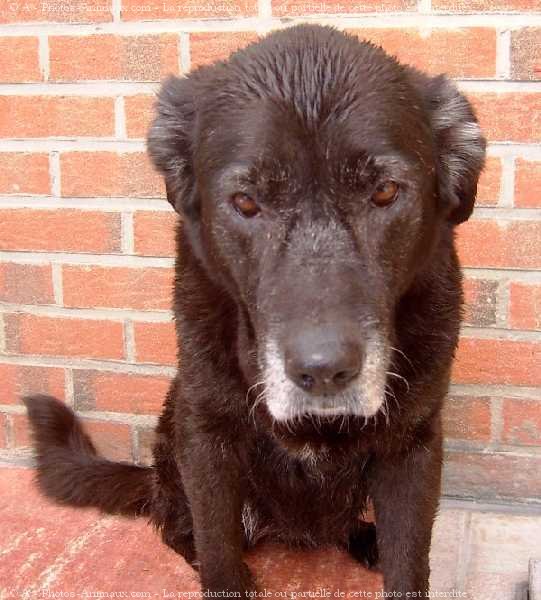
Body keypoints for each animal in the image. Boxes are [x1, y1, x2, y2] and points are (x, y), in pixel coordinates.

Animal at [23, 23, 484, 596]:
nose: (324, 371)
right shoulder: (207, 437)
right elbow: (219, 549)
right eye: (245, 202)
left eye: (384, 192)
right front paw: (222, 571)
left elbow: (409, 562)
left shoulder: (412, 448)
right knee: (176, 526)